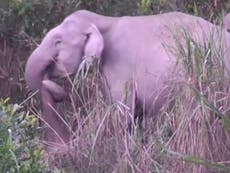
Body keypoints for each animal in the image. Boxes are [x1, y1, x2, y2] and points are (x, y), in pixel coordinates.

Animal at [24, 10, 229, 145]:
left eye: (58, 41)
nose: (64, 94)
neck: (103, 20)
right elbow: (134, 117)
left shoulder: (120, 66)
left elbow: (121, 115)